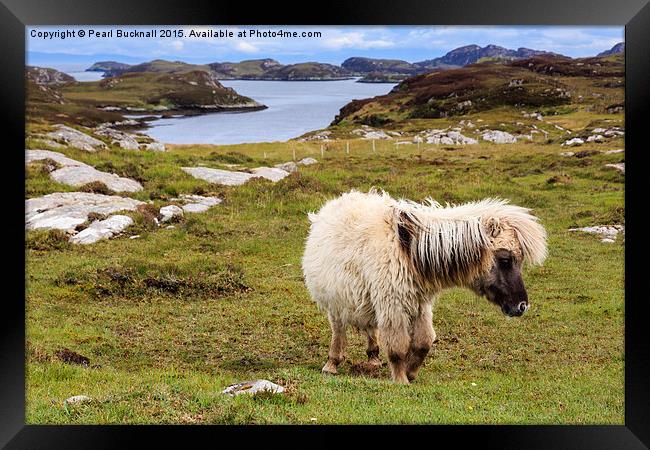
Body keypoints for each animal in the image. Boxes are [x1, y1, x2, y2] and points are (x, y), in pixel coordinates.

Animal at [302, 190, 544, 384]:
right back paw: (332, 364)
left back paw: (373, 359)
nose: (522, 306)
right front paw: (401, 380)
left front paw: (411, 373)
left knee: (370, 328)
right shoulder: (393, 305)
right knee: (339, 331)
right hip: (336, 304)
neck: (409, 250)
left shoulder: (420, 304)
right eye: (505, 259)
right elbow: (398, 346)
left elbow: (424, 342)